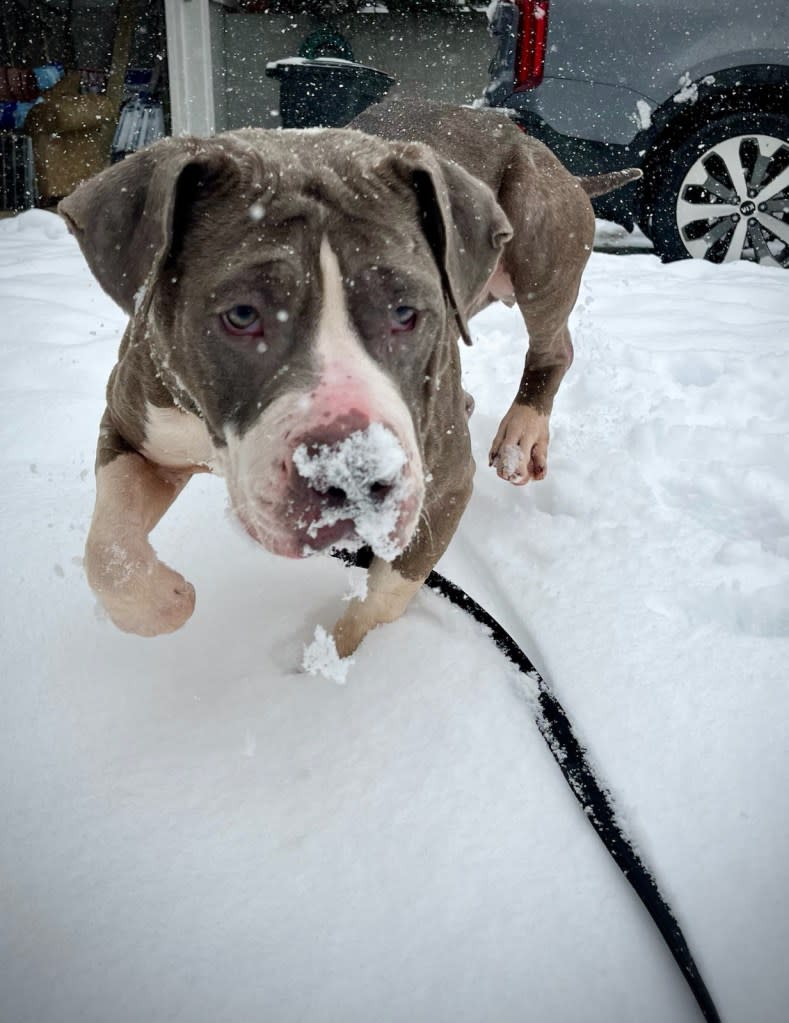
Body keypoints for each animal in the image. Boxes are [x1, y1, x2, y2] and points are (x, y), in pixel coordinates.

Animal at [61, 96, 642, 654]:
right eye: (242, 315)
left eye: (406, 312)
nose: (353, 473)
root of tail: (544, 150)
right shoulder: (135, 430)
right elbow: (108, 551)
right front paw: (165, 601)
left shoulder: (446, 485)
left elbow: (387, 594)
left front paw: (329, 660)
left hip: (540, 241)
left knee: (554, 345)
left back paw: (522, 433)